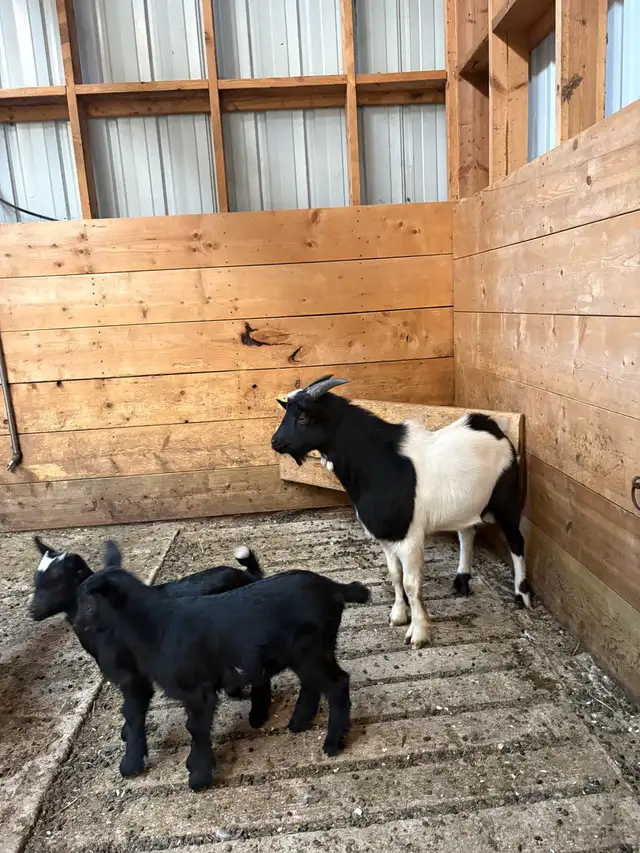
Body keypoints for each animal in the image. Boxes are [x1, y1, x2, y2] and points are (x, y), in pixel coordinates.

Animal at [29, 536, 263, 777]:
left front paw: (131, 763)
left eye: (58, 582)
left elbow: (134, 711)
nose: (33, 611)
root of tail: (248, 576)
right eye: (36, 580)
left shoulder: (132, 675)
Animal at [79, 540, 370, 791]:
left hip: (312, 650)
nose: (81, 629)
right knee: (312, 683)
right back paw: (299, 722)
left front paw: (199, 775)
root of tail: (334, 588)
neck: (156, 626)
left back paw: (332, 743)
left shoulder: (198, 689)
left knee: (337, 684)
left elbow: (196, 728)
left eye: (89, 606)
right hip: (305, 653)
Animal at [270, 375, 530, 650]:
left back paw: (521, 595)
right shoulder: (387, 536)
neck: (381, 464)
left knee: (516, 541)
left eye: (303, 417)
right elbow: (395, 575)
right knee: (466, 532)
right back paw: (462, 579)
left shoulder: (410, 537)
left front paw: (418, 633)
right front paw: (398, 615)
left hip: (506, 500)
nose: (275, 442)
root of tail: (493, 426)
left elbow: (411, 583)